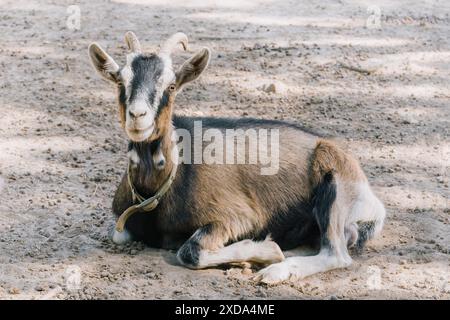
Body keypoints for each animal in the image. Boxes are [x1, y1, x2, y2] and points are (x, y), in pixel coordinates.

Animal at [89, 31, 386, 282]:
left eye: (171, 86)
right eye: (120, 81)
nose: (138, 117)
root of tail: (374, 202)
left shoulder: (237, 217)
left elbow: (189, 252)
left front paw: (267, 251)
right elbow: (118, 236)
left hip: (335, 185)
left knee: (336, 253)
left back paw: (276, 270)